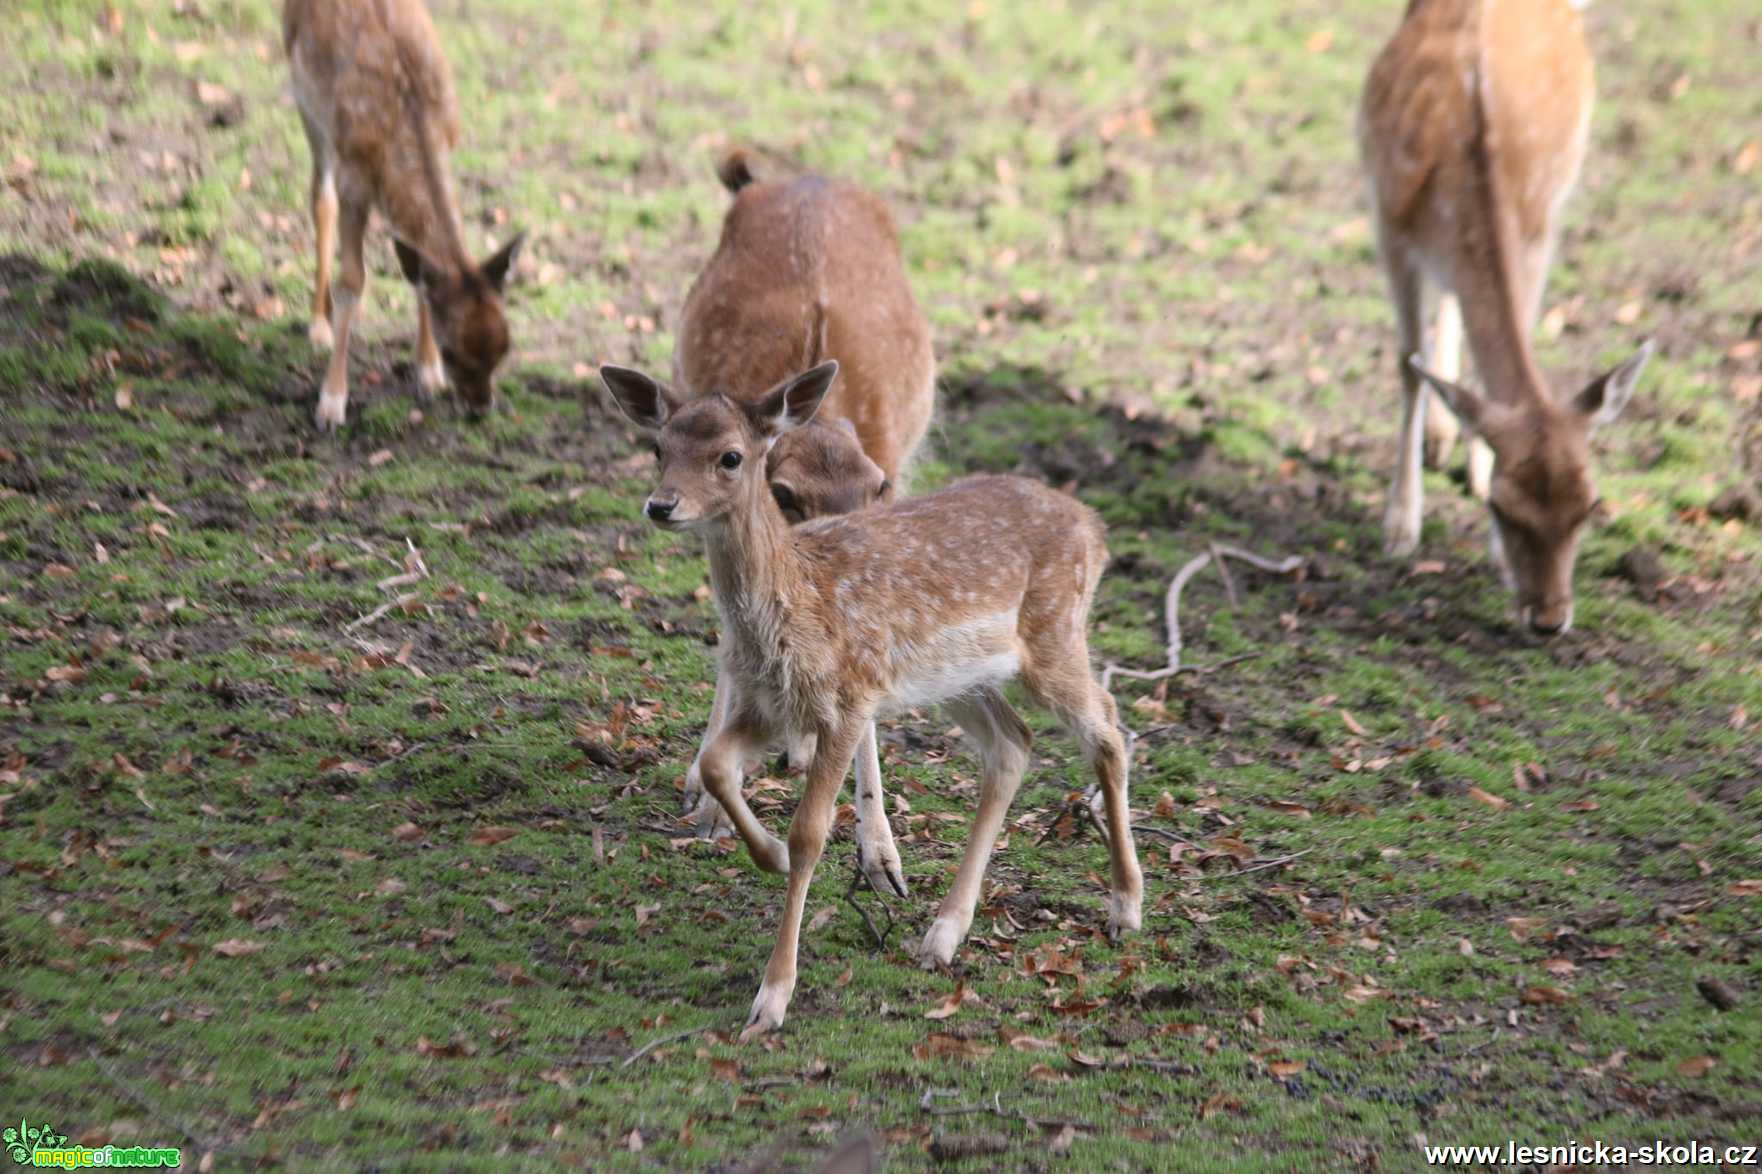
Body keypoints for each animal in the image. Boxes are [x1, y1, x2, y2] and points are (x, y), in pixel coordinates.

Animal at [281, 0, 521, 428]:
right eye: (452, 350)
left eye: (505, 347)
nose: (479, 407)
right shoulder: (354, 178)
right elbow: (352, 282)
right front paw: (331, 404)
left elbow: (419, 268)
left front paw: (428, 376)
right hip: (308, 106)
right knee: (320, 198)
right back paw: (318, 326)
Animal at [599, 361, 1134, 1036]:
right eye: (658, 449)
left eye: (731, 456)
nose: (662, 504)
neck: (793, 607)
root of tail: (1095, 526)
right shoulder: (771, 705)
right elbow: (717, 766)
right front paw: (769, 854)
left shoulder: (847, 699)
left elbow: (812, 831)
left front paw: (772, 999)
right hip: (959, 677)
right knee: (1015, 743)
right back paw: (942, 936)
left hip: (1054, 634)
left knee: (1107, 726)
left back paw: (1126, 908)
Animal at [1360, 0, 1649, 634]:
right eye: (1503, 508)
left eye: (1590, 506)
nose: (1549, 620)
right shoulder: (1391, 225)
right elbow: (1406, 364)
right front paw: (1400, 526)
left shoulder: (1537, 234)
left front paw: (1479, 480)